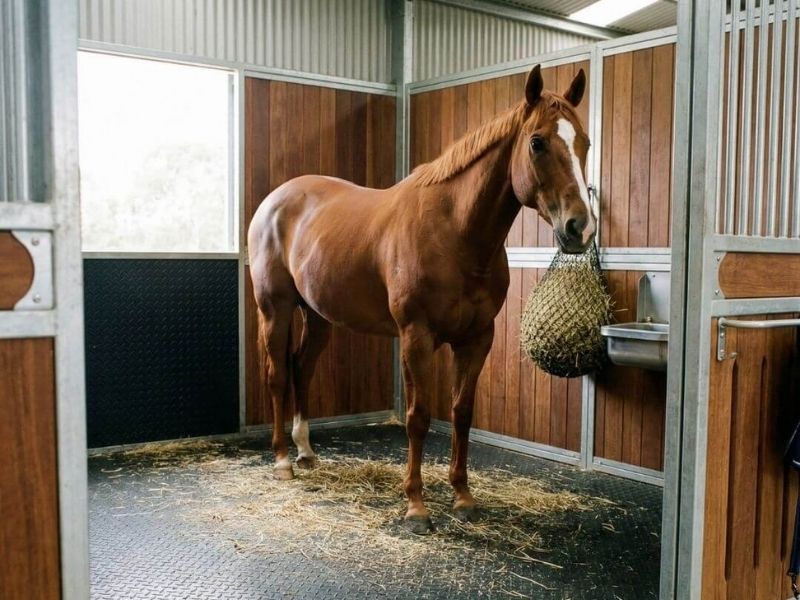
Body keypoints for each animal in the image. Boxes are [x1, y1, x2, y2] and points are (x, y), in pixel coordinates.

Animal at [247, 64, 595, 534]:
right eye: (537, 142)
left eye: (584, 142)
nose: (580, 228)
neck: (454, 233)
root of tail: (275, 200)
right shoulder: (417, 337)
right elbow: (418, 417)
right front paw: (416, 506)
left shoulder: (476, 339)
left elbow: (462, 413)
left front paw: (463, 497)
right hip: (276, 310)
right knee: (278, 375)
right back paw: (283, 459)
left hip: (318, 316)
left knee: (302, 369)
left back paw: (305, 452)